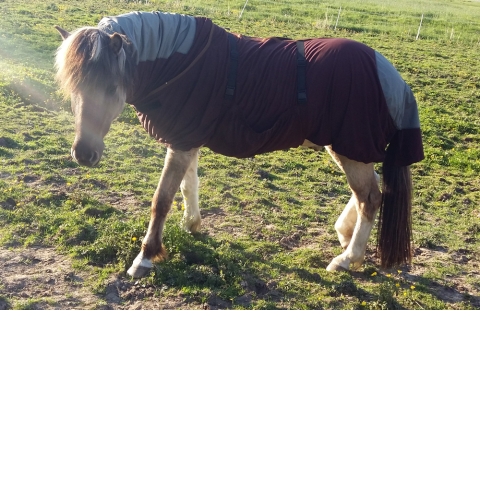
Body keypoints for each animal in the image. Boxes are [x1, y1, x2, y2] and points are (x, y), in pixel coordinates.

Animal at [55, 11, 424, 280]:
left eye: (109, 86)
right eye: (74, 86)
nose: (83, 154)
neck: (177, 63)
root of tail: (389, 73)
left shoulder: (183, 140)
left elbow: (161, 200)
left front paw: (145, 257)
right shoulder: (186, 138)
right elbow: (188, 186)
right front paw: (192, 224)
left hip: (350, 147)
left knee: (370, 197)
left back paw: (348, 258)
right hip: (348, 147)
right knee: (371, 190)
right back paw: (345, 233)